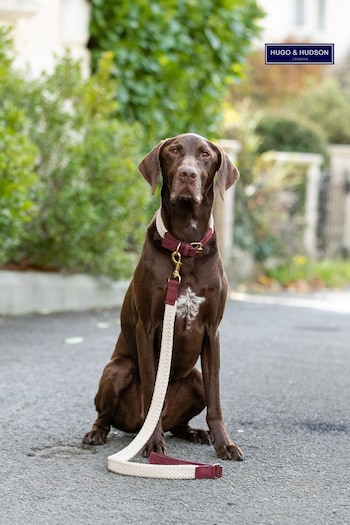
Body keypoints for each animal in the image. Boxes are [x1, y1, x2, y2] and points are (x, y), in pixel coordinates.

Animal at [83, 133, 243, 460]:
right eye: (174, 151)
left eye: (206, 155)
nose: (187, 174)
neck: (185, 246)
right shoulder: (147, 327)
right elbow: (150, 391)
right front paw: (153, 443)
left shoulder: (212, 332)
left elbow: (216, 401)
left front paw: (224, 443)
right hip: (117, 369)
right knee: (108, 414)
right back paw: (99, 432)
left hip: (194, 379)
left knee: (180, 420)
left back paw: (194, 432)